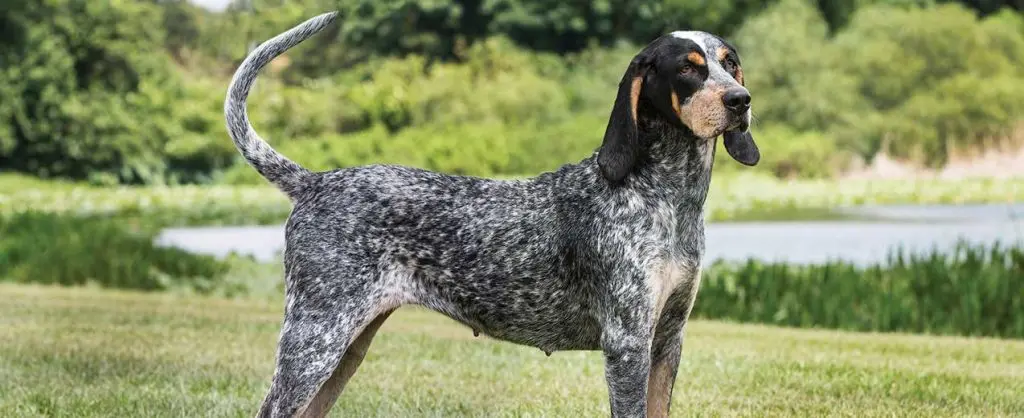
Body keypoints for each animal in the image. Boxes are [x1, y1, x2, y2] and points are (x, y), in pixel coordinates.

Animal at [228, 9, 761, 418]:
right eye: (688, 69)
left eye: (730, 64)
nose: (741, 100)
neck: (668, 195)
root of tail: (314, 182)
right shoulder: (628, 344)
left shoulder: (667, 341)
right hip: (315, 340)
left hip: (345, 348)